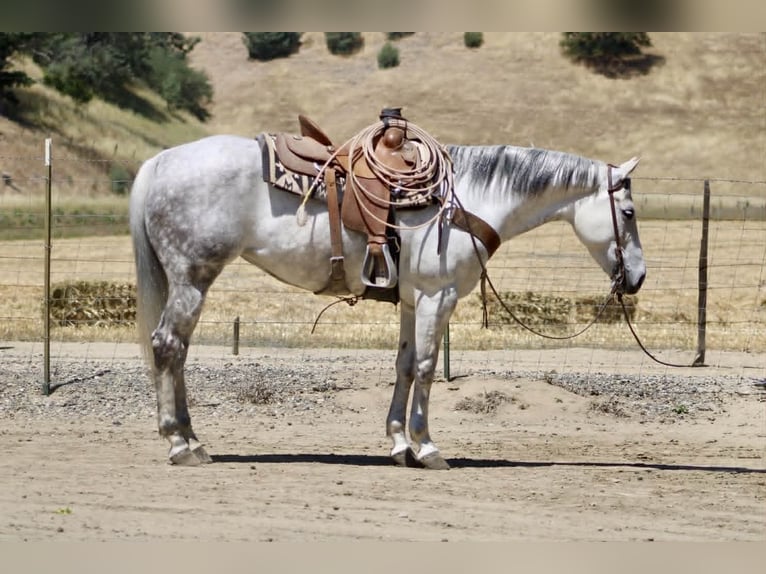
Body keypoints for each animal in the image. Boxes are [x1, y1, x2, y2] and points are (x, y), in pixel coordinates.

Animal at [129, 134, 646, 469]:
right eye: (628, 212)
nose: (637, 277)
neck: (464, 201)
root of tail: (160, 162)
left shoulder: (413, 301)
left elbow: (405, 365)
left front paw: (399, 444)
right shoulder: (439, 296)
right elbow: (428, 367)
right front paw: (428, 447)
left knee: (176, 351)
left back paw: (191, 438)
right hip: (192, 278)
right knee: (168, 346)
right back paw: (180, 444)